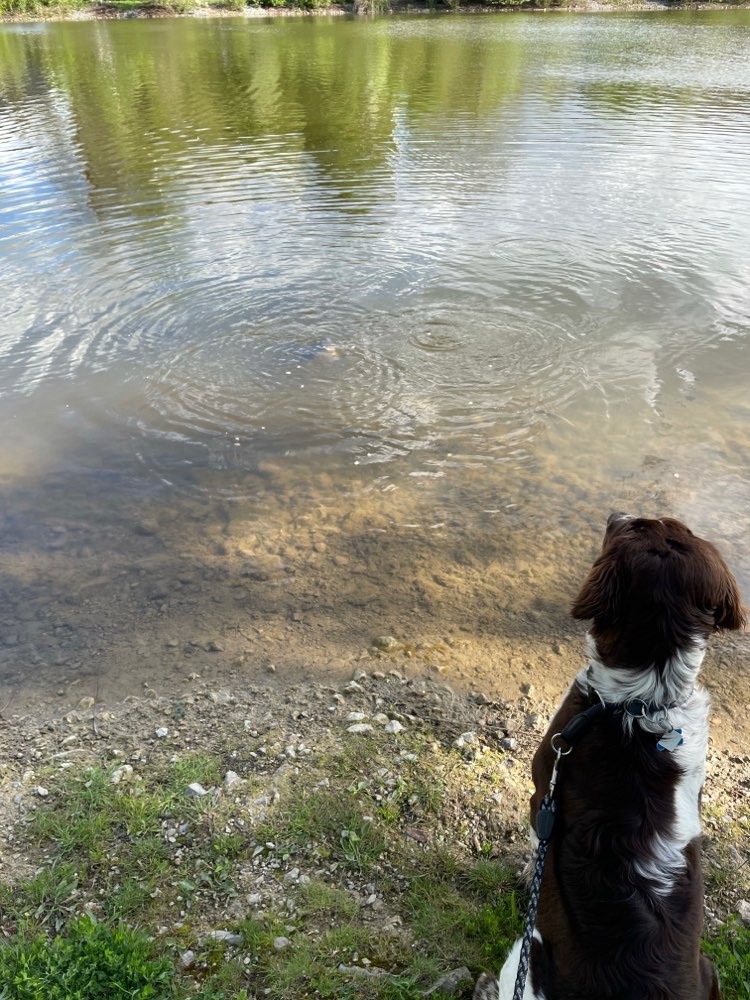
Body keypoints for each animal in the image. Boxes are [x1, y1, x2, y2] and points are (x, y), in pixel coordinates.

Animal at [476, 516, 748, 1000]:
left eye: (636, 526)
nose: (615, 514)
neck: (642, 702)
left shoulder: (542, 787)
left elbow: (536, 841)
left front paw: (528, 876)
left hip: (525, 957)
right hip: (708, 966)